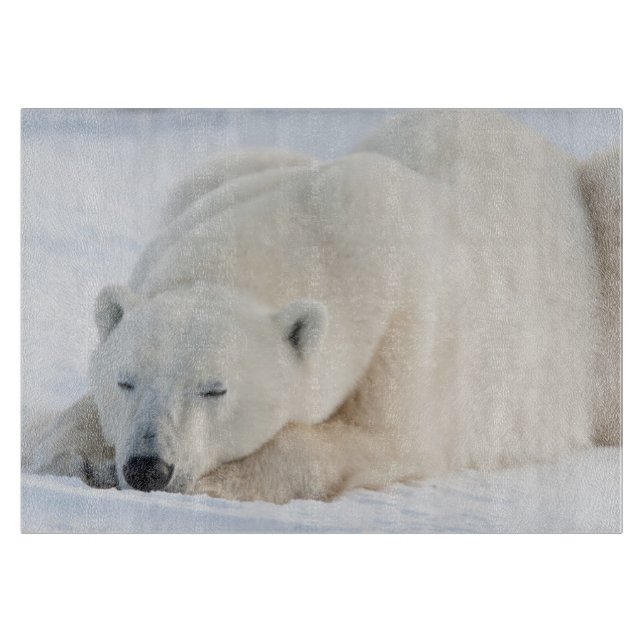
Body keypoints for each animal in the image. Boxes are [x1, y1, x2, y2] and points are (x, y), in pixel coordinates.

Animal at [28, 110, 620, 503]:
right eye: (125, 381)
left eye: (215, 389)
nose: (148, 466)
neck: (324, 223)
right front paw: (70, 453)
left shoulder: (414, 327)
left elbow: (384, 439)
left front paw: (221, 482)